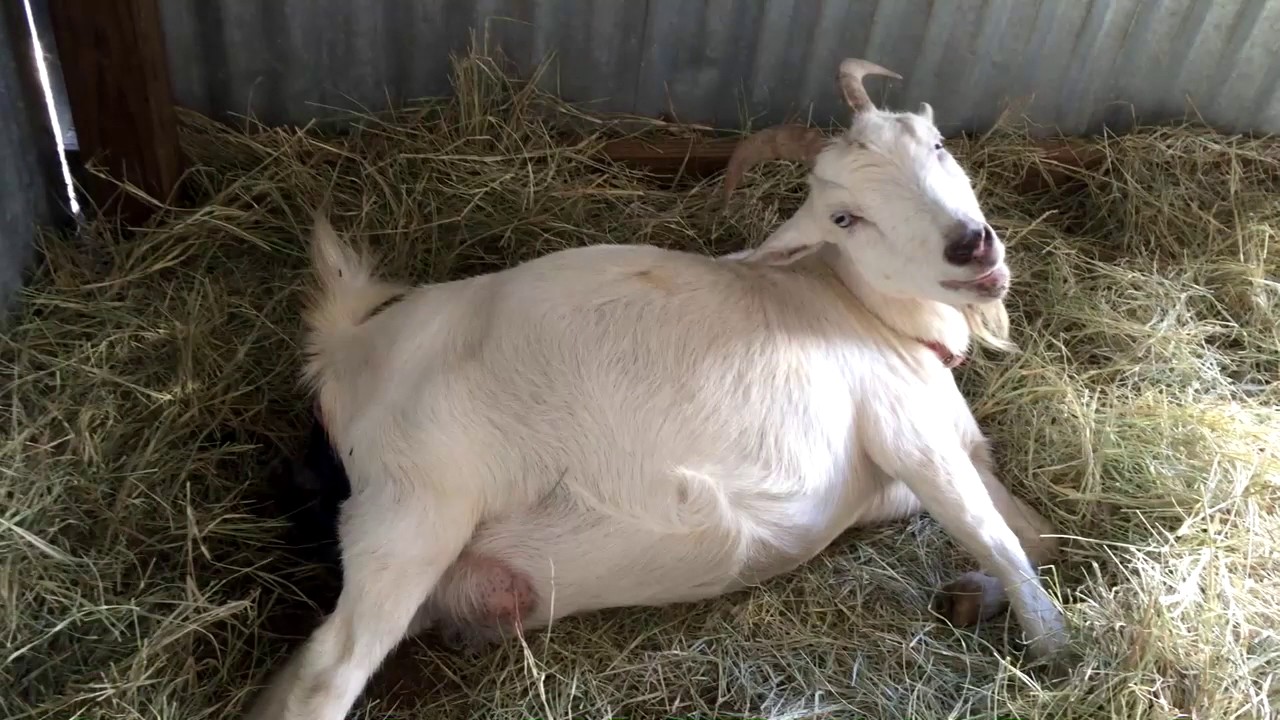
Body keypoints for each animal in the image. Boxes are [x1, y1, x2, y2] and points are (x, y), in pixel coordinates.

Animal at [242, 58, 1067, 720]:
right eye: (845, 217)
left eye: (936, 146)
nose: (971, 246)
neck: (870, 317)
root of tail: (347, 350)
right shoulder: (910, 435)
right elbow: (995, 536)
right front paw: (1057, 642)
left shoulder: (935, 465)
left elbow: (1035, 534)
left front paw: (972, 596)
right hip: (413, 506)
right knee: (324, 680)